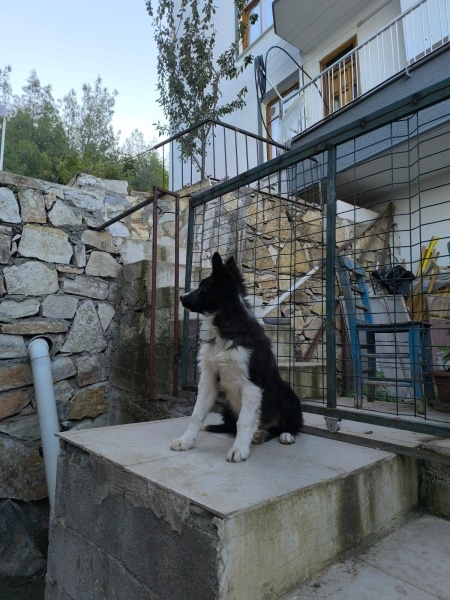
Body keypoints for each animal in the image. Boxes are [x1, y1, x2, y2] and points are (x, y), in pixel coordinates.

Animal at [171, 251, 302, 462]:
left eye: (203, 287)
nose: (181, 297)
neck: (226, 332)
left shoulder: (252, 385)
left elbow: (244, 421)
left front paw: (239, 450)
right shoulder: (208, 378)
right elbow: (197, 413)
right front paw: (186, 441)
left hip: (287, 393)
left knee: (288, 425)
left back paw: (285, 434)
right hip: (227, 406)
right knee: (235, 426)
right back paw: (256, 434)